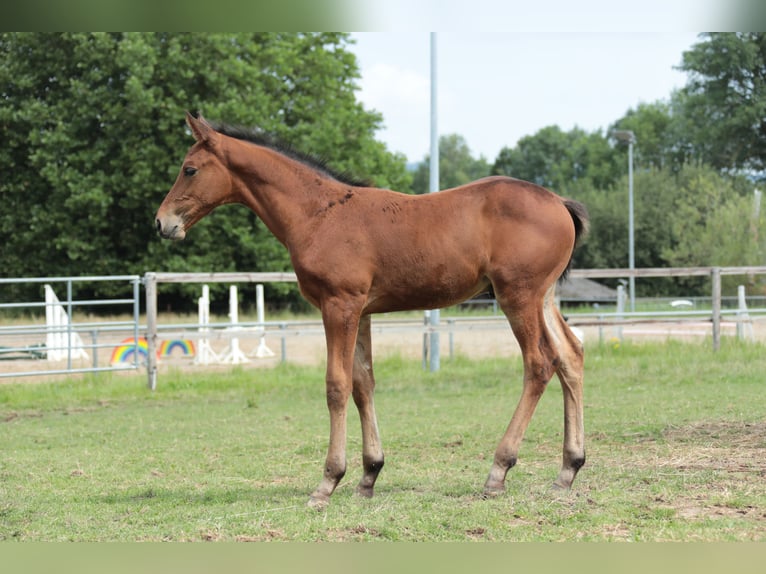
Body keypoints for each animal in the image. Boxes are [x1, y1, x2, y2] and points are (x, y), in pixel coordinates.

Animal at [153, 111, 592, 508]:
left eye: (189, 169)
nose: (161, 223)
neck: (319, 213)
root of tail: (559, 202)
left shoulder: (339, 305)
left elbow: (336, 385)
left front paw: (327, 482)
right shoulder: (360, 311)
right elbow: (363, 382)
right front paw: (369, 475)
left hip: (517, 296)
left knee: (539, 364)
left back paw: (498, 471)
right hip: (543, 297)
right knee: (571, 355)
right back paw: (567, 470)